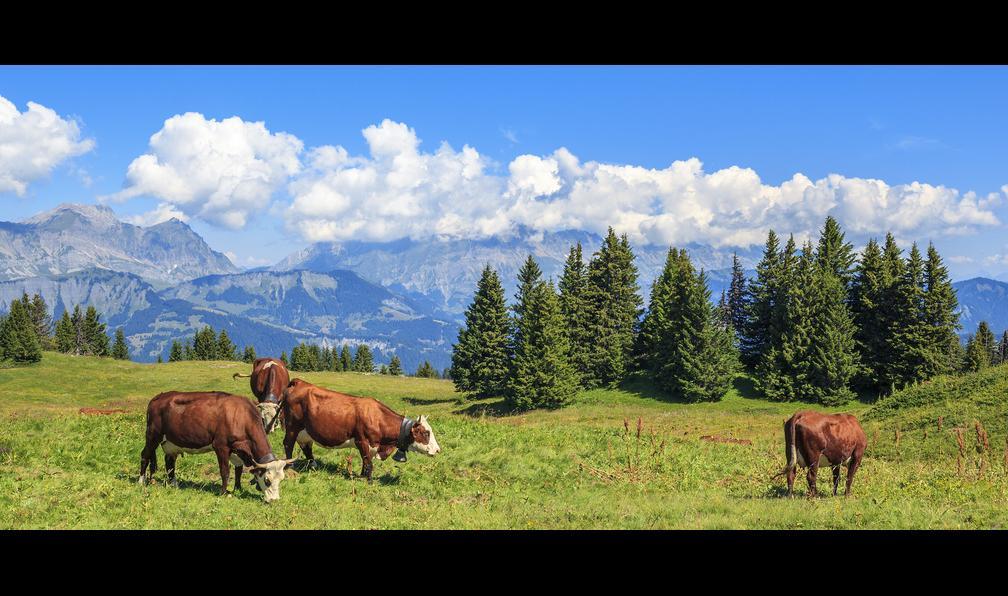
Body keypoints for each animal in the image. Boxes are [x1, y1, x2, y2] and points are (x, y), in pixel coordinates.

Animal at [139, 391, 295, 502]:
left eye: (281, 479)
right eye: (267, 480)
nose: (274, 500)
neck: (240, 416)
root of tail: (158, 397)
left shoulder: (238, 448)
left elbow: (238, 469)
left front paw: (238, 488)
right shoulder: (221, 446)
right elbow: (225, 471)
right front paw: (224, 492)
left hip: (172, 442)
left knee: (170, 462)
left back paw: (174, 484)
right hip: (153, 435)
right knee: (145, 455)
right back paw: (141, 481)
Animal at [281, 378, 441, 483]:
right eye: (426, 433)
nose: (438, 450)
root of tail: (299, 382)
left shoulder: (372, 445)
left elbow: (366, 461)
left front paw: (362, 476)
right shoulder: (362, 441)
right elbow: (368, 462)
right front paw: (369, 481)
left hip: (305, 432)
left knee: (306, 447)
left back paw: (313, 465)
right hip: (291, 427)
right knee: (288, 444)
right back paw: (290, 466)